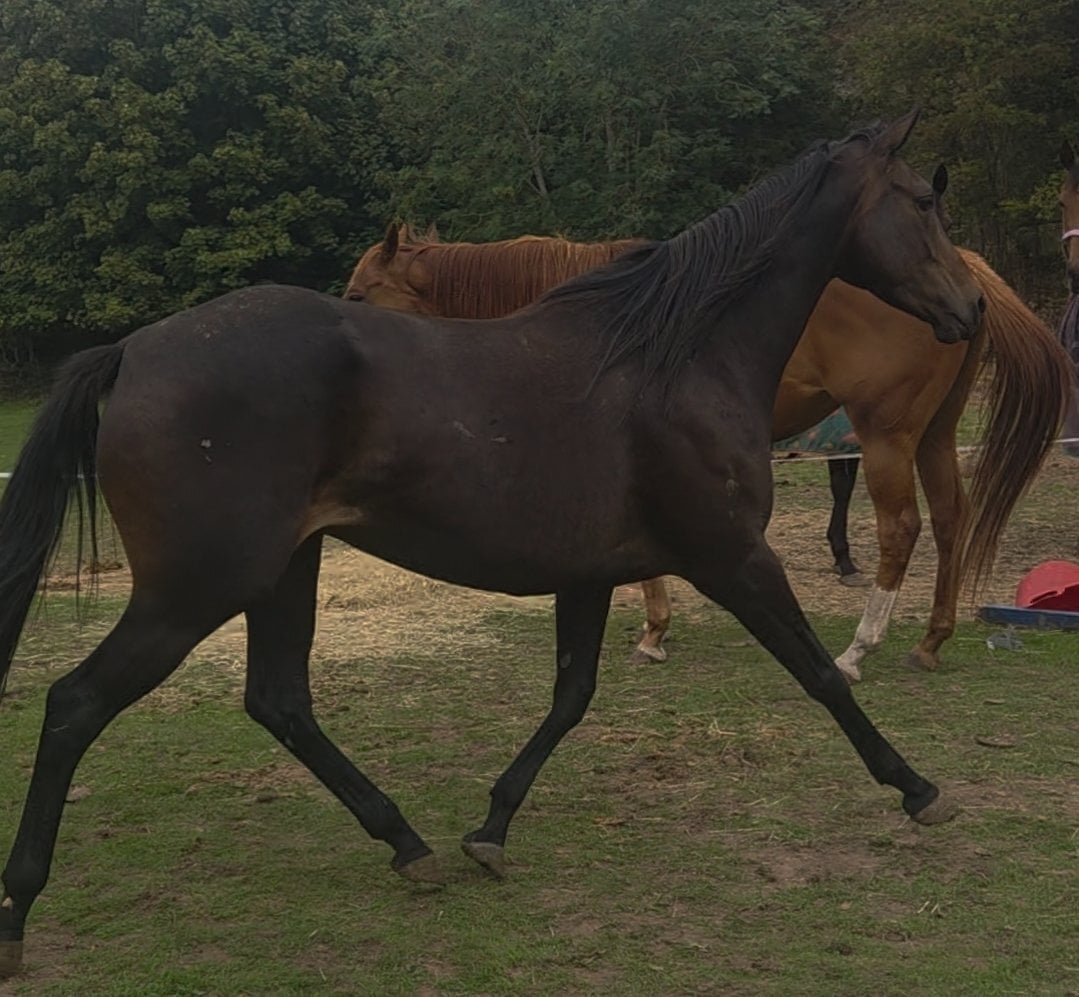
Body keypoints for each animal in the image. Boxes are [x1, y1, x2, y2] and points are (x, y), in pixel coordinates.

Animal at [0, 113, 984, 976]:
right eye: (921, 203)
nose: (970, 306)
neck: (677, 356)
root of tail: (132, 351)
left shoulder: (591, 575)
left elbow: (570, 698)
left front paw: (489, 830)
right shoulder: (732, 556)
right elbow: (819, 674)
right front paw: (917, 789)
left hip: (282, 570)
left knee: (279, 701)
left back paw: (409, 843)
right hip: (195, 587)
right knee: (76, 703)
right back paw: (18, 906)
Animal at [344, 192, 1071, 680]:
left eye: (357, 294)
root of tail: (964, 272)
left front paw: (652, 630)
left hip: (885, 435)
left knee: (902, 529)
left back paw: (857, 650)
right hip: (933, 434)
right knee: (951, 519)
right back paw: (930, 641)